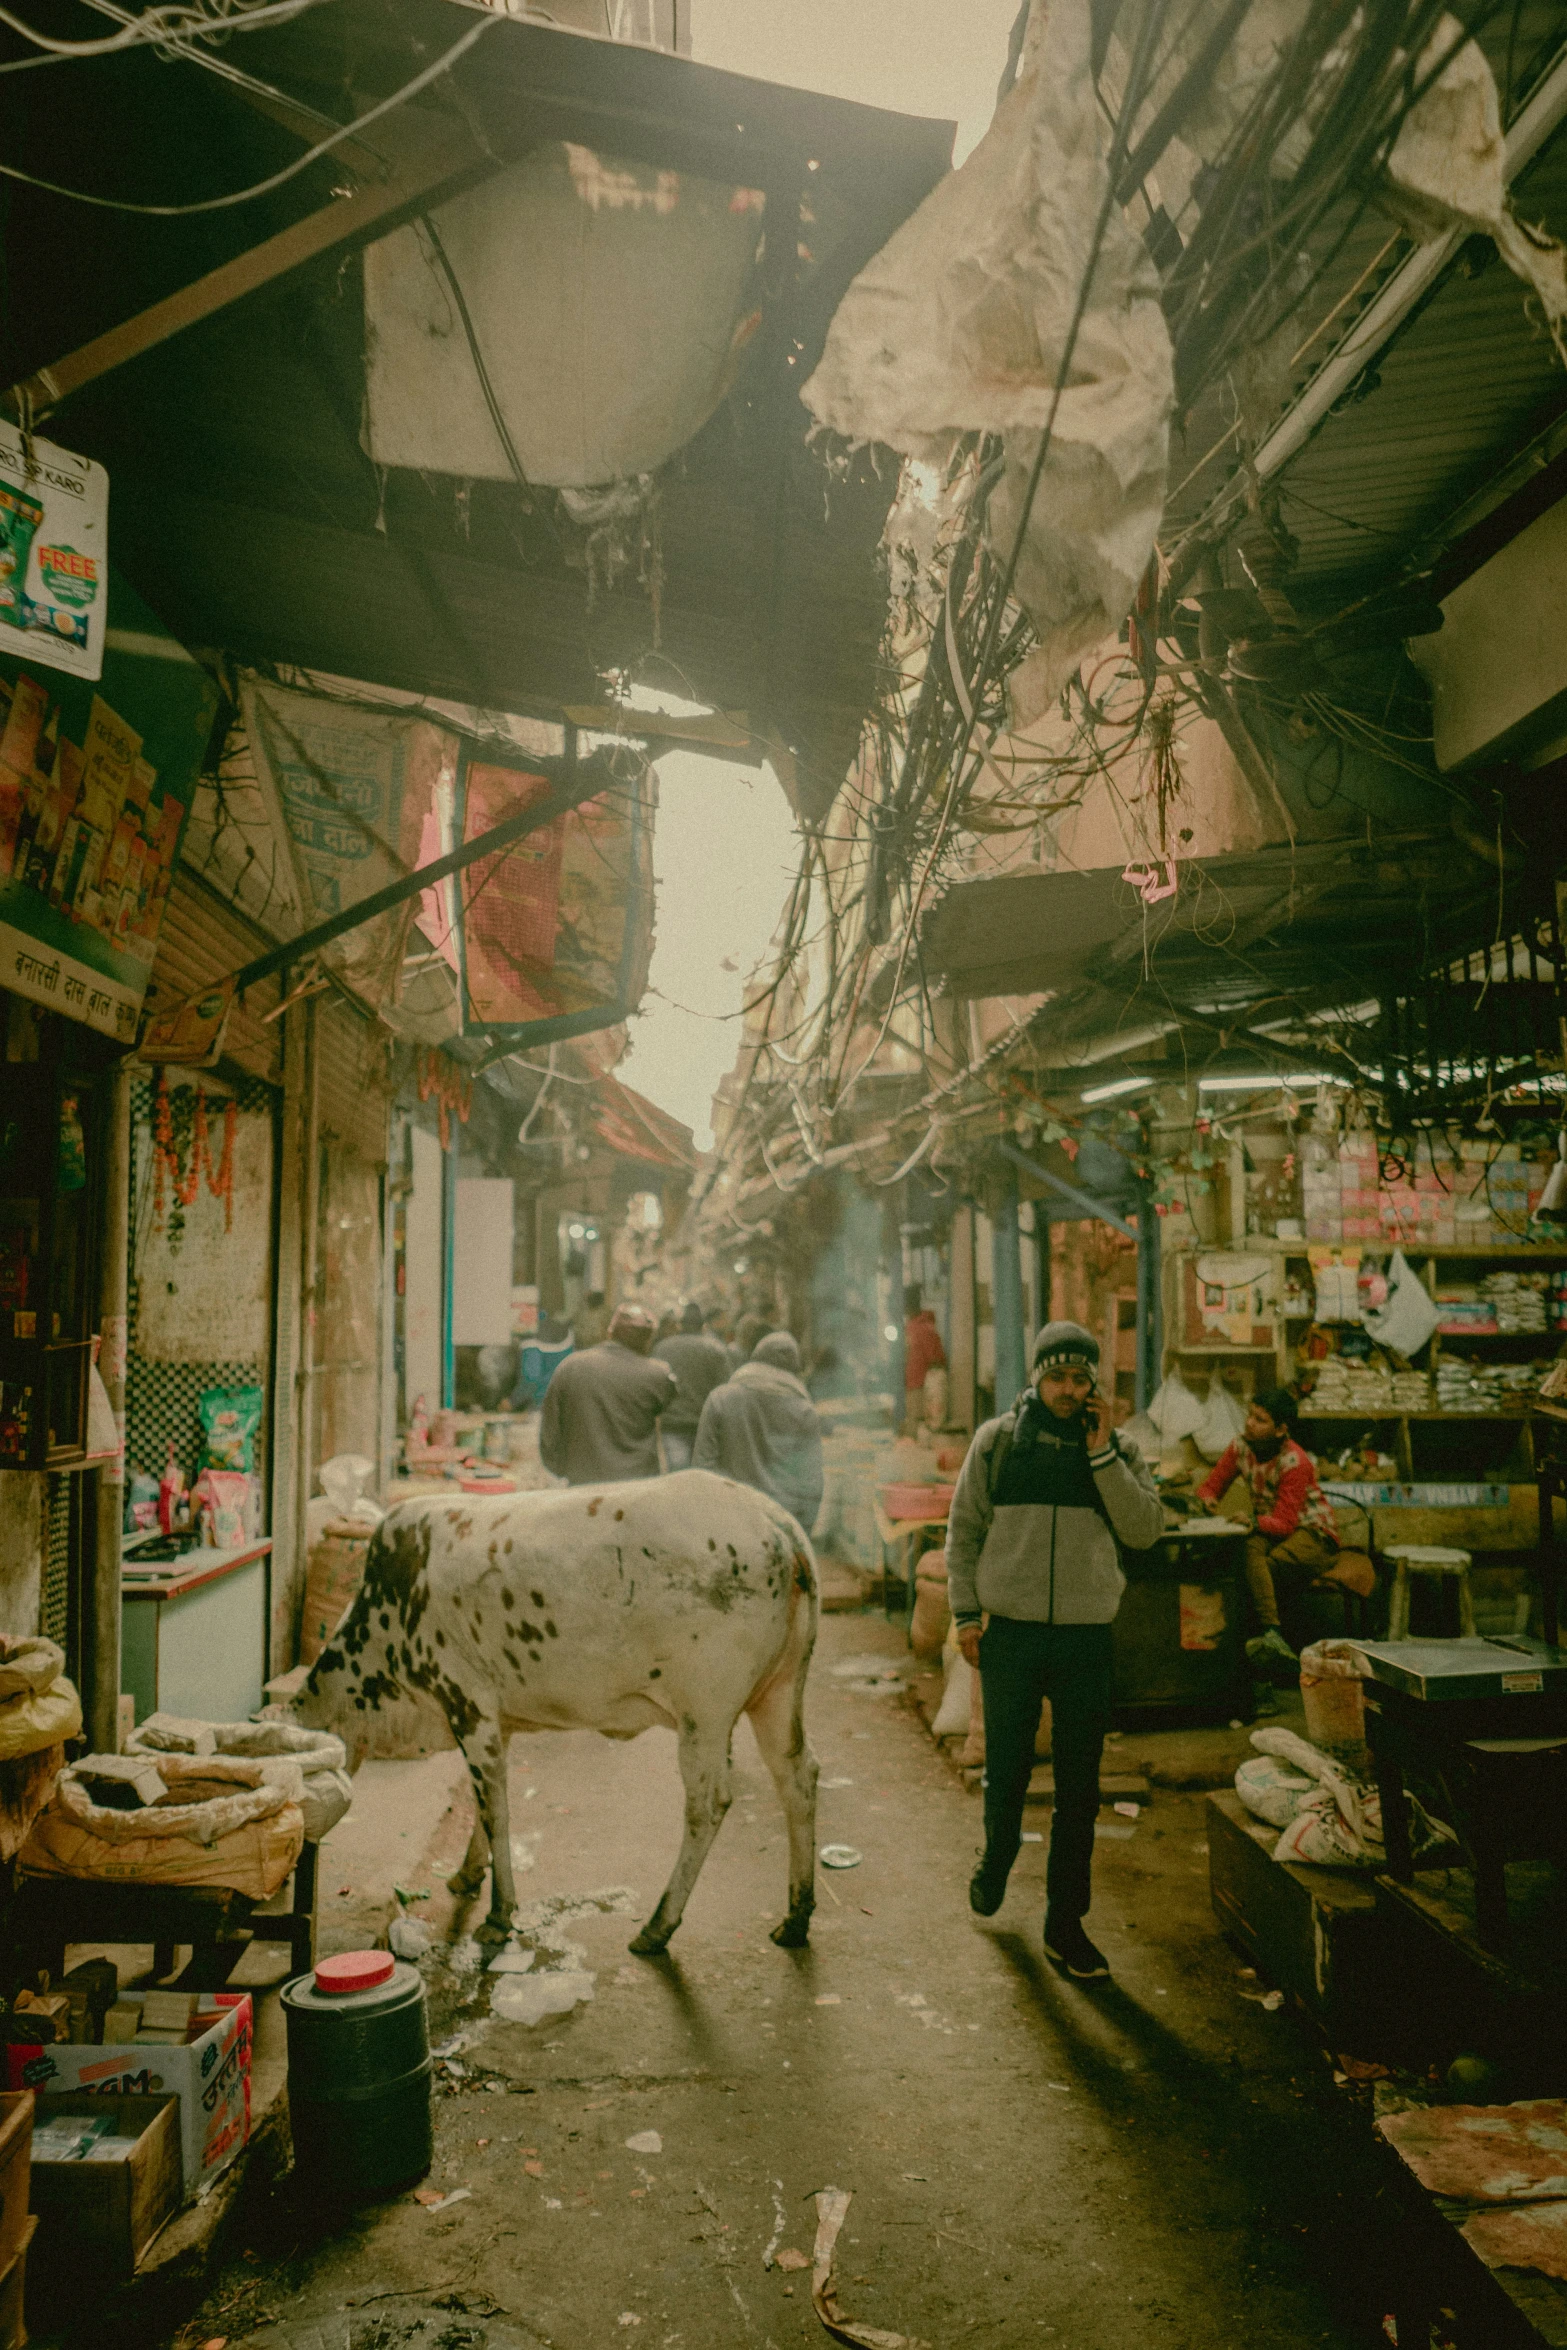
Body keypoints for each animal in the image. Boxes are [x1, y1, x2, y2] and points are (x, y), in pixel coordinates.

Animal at [291, 1475, 822, 1955]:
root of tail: (776, 1523)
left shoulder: (467, 1705)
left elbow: (496, 1811)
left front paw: (499, 1915)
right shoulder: (496, 1722)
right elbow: (482, 1808)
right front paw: (466, 1875)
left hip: (703, 1716)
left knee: (708, 1804)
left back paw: (657, 1927)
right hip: (779, 1695)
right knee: (798, 1777)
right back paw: (796, 1918)